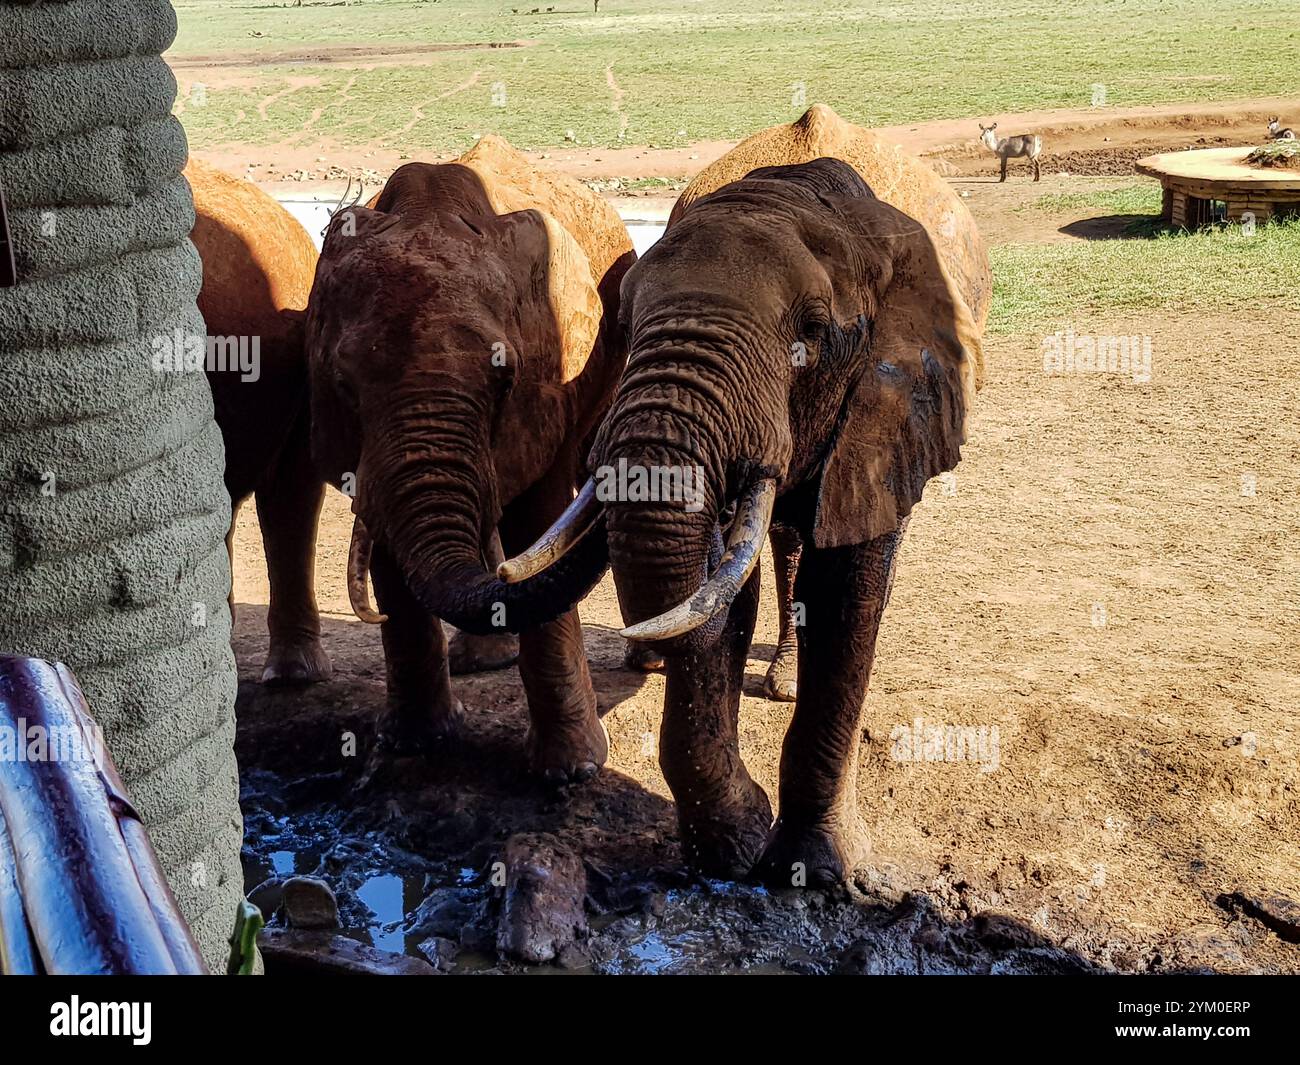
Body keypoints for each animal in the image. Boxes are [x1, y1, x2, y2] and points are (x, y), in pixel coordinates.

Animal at [301, 133, 631, 785]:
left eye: (505, 381)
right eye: (343, 385)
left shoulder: (551, 382)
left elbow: (538, 518)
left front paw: (571, 773)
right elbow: (387, 542)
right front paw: (414, 745)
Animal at [496, 110, 982, 889]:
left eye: (811, 332)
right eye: (622, 321)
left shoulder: (890, 402)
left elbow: (846, 594)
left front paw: (812, 871)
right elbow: (718, 595)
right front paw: (732, 848)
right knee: (774, 542)